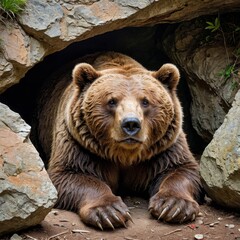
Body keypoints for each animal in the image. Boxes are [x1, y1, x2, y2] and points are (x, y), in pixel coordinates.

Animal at [33, 52, 202, 229]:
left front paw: (174, 206)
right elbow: (70, 174)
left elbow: (180, 169)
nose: (131, 123)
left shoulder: (163, 148)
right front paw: (108, 211)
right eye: (112, 101)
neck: (124, 155)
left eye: (145, 101)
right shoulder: (78, 144)